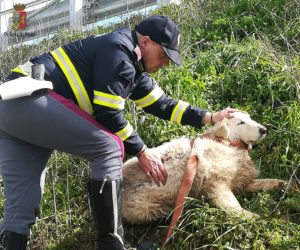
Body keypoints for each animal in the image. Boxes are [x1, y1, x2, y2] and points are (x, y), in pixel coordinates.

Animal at [122, 112, 286, 224]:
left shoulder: (241, 180)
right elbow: (233, 206)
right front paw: (253, 217)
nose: (263, 129)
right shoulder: (216, 183)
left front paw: (282, 184)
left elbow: (263, 182)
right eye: (241, 122)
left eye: (250, 118)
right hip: (144, 208)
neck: (227, 143)